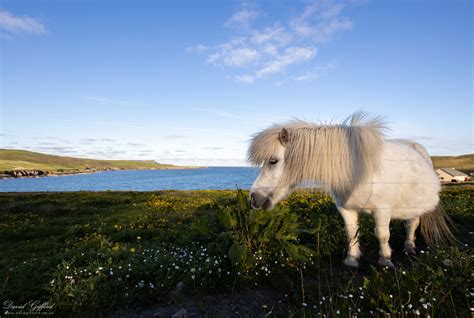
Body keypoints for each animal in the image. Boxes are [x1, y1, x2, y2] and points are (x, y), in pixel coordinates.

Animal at [246, 113, 454, 268]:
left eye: (273, 161)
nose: (254, 198)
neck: (358, 170)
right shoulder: (346, 209)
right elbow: (351, 232)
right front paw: (352, 260)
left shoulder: (382, 210)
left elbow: (382, 235)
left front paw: (385, 261)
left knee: (412, 224)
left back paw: (409, 247)